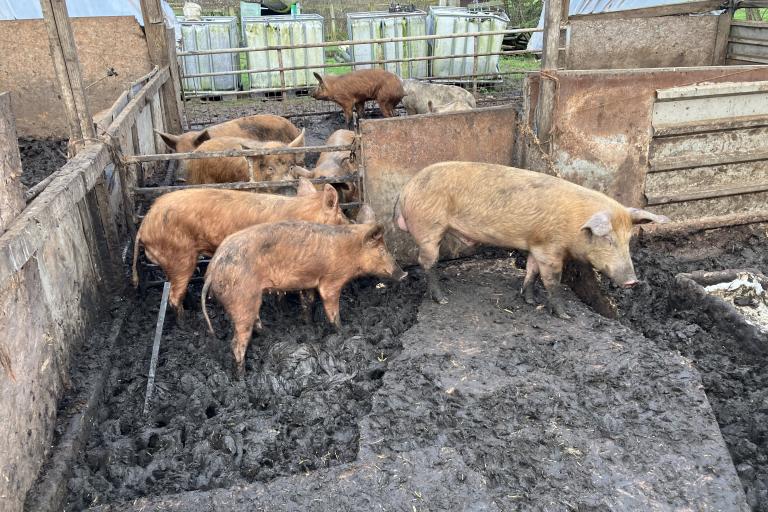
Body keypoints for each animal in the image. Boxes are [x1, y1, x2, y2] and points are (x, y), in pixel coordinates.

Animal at [201, 221, 407, 376]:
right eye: (382, 251)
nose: (404, 274)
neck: (351, 251)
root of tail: (211, 270)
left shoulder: (310, 283)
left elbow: (308, 302)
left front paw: (308, 324)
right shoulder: (331, 281)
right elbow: (332, 308)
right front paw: (343, 331)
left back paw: (269, 334)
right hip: (242, 298)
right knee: (237, 342)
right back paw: (243, 377)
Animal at [394, 162, 669, 319]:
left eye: (628, 240)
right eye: (608, 239)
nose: (632, 281)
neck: (574, 225)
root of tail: (406, 189)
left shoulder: (536, 246)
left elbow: (531, 271)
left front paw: (529, 300)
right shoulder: (550, 249)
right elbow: (553, 281)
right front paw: (565, 316)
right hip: (429, 228)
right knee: (427, 262)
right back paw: (442, 298)